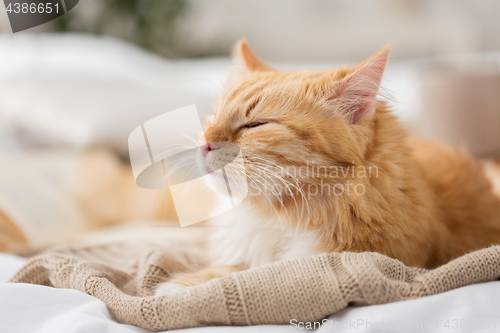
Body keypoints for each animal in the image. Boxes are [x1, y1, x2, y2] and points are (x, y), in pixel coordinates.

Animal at [156, 40, 500, 294]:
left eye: (255, 125)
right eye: (213, 118)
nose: (204, 144)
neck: (277, 217)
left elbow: (249, 276)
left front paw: (183, 287)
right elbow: (233, 267)